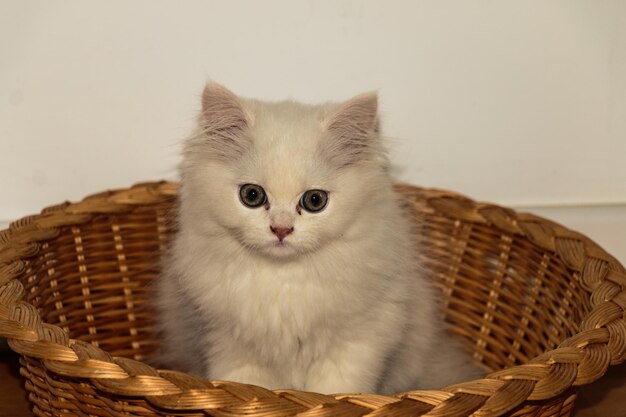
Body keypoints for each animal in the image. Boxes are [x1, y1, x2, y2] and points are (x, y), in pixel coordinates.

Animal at [155, 82, 478, 394]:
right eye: (252, 195)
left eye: (314, 200)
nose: (281, 229)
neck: (283, 280)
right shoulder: (227, 344)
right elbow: (245, 386)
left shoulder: (357, 343)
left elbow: (335, 392)